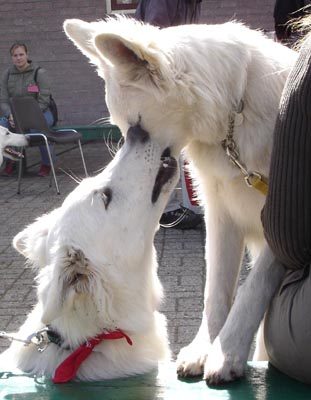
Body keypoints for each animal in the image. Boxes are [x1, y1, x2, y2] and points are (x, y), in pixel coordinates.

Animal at [62, 18, 298, 384]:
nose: (113, 176)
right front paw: (204, 348)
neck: (235, 109)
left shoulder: (281, 218)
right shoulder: (221, 217)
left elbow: (252, 288)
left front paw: (226, 351)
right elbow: (215, 292)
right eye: (124, 129)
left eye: (137, 128)